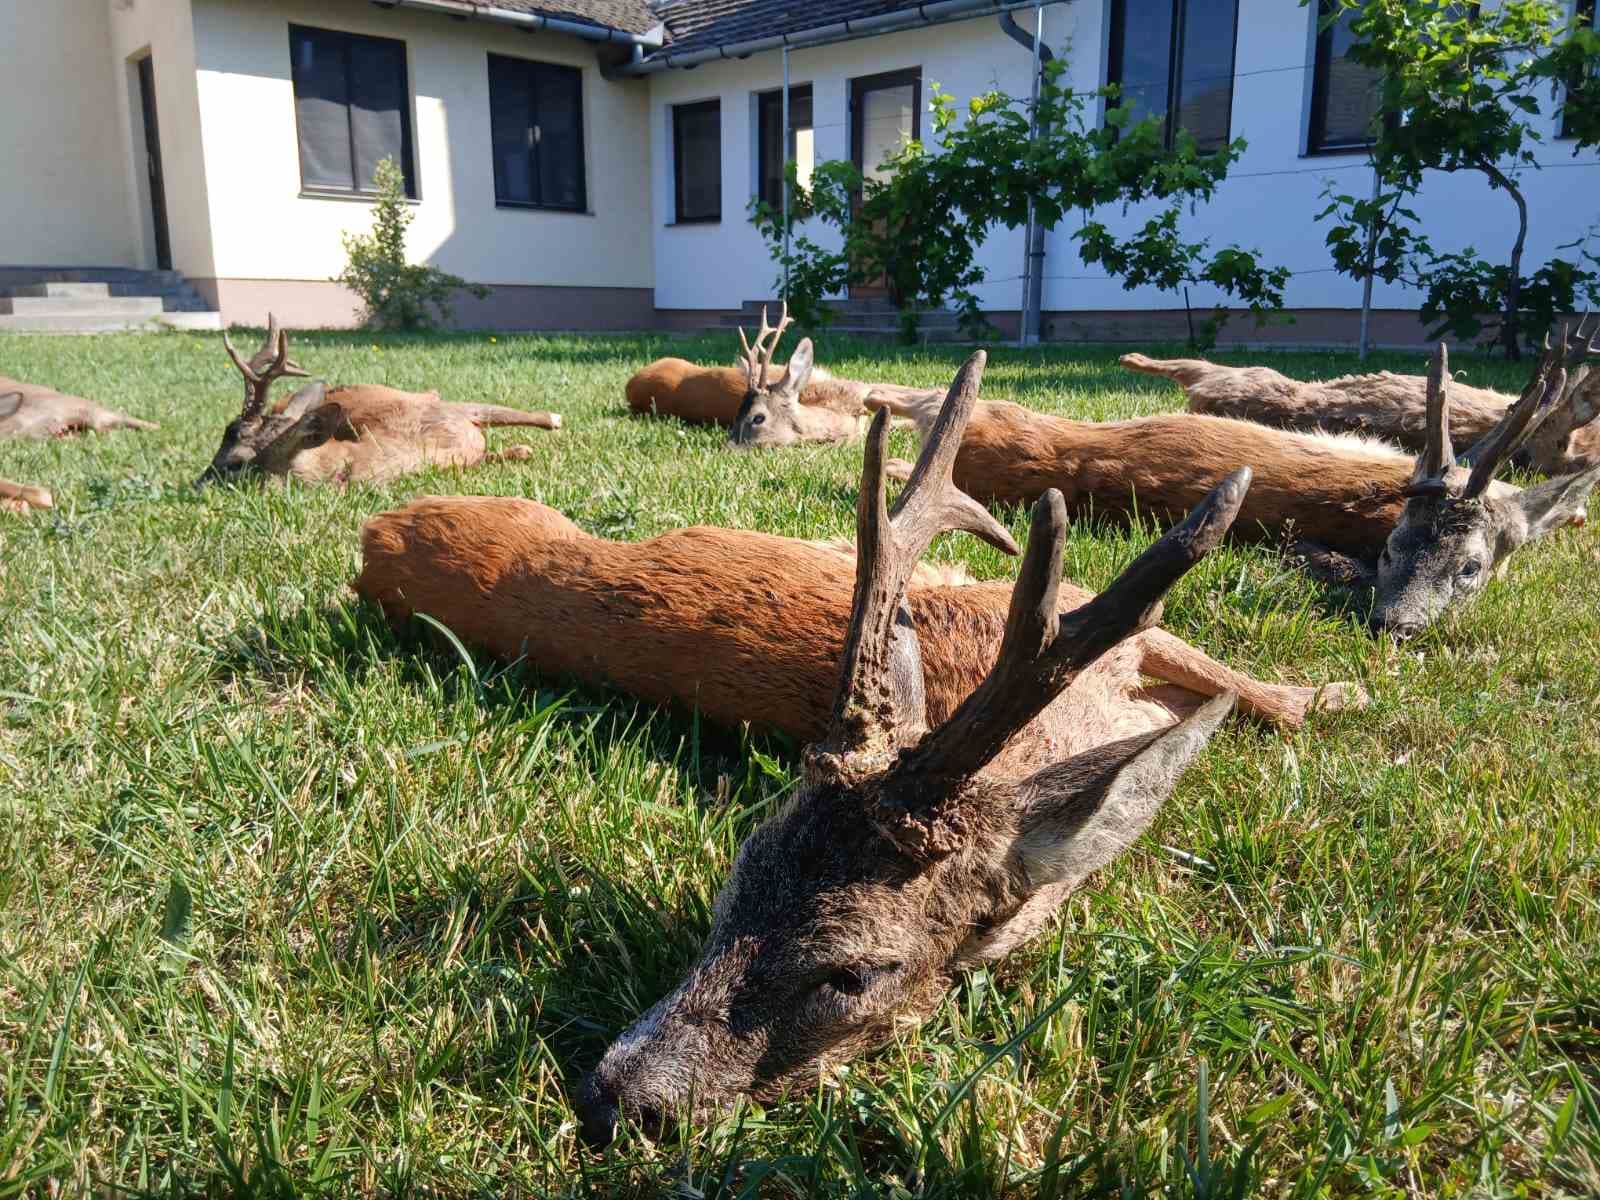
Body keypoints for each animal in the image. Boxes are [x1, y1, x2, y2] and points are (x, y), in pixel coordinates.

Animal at [1120, 325, 1600, 476]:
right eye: (1562, 443)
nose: (1583, 462)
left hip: (1234, 376)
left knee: (1190, 365)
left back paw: (1131, 358)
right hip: (1242, 373)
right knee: (1187, 361)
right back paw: (1129, 356)